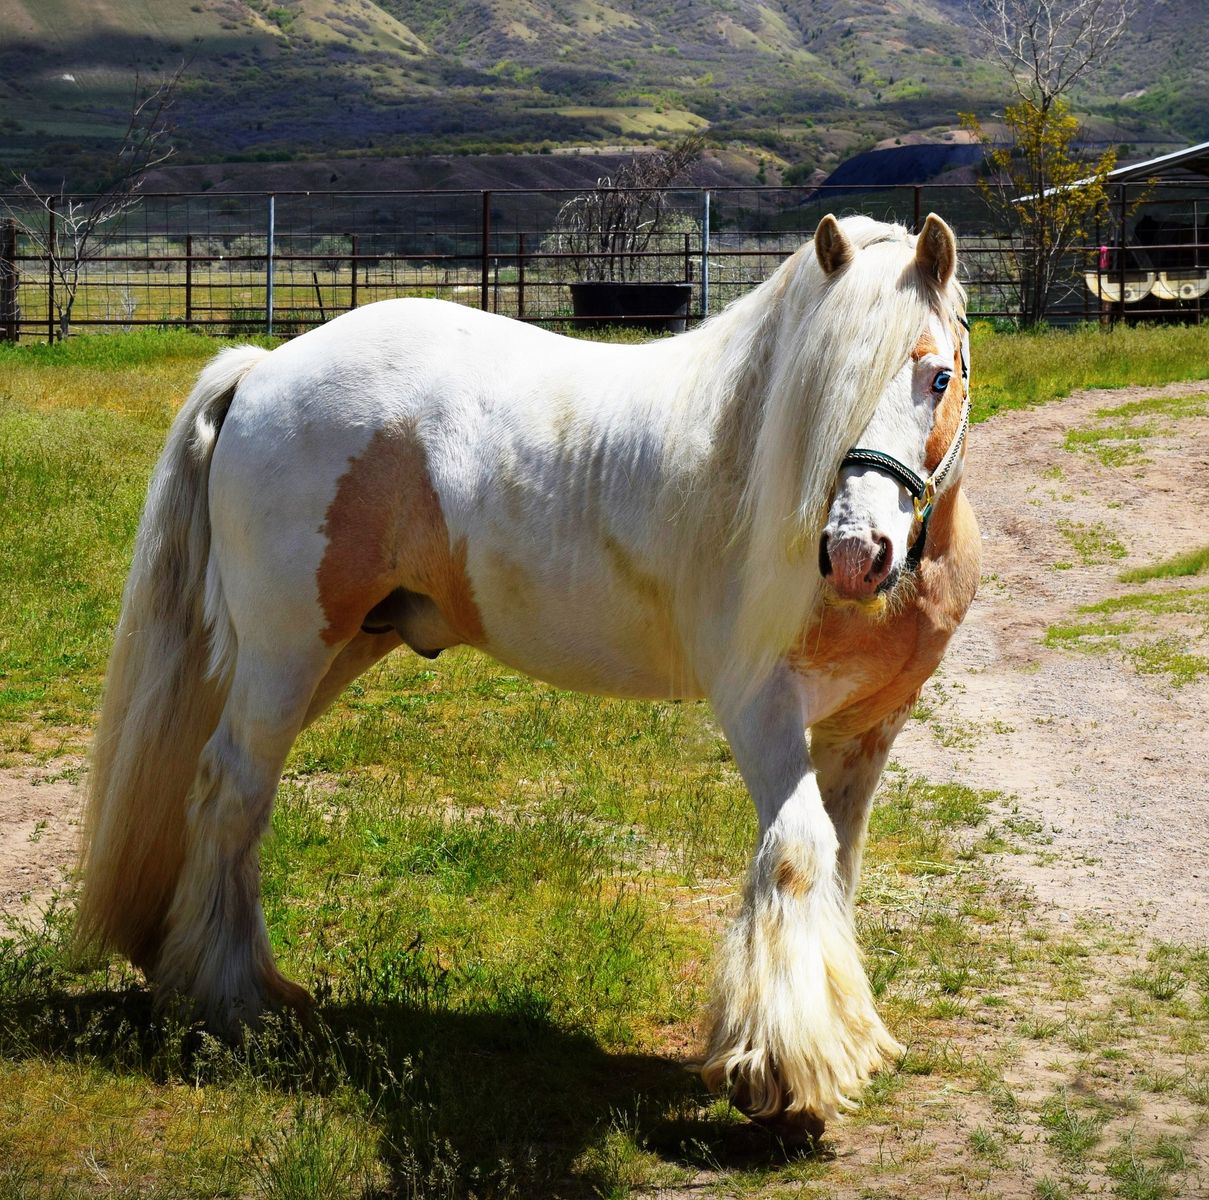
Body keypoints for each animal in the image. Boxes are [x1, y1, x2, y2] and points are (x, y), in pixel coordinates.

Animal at [77, 212, 979, 1140]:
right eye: (815, 395)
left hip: (327, 655)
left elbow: (838, 867)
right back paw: (233, 1000)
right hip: (286, 651)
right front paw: (784, 1075)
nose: (855, 555)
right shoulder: (759, 709)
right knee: (232, 791)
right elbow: (797, 855)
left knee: (205, 779)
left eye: (939, 376)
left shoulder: (866, 727)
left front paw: (845, 1039)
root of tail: (261, 370)